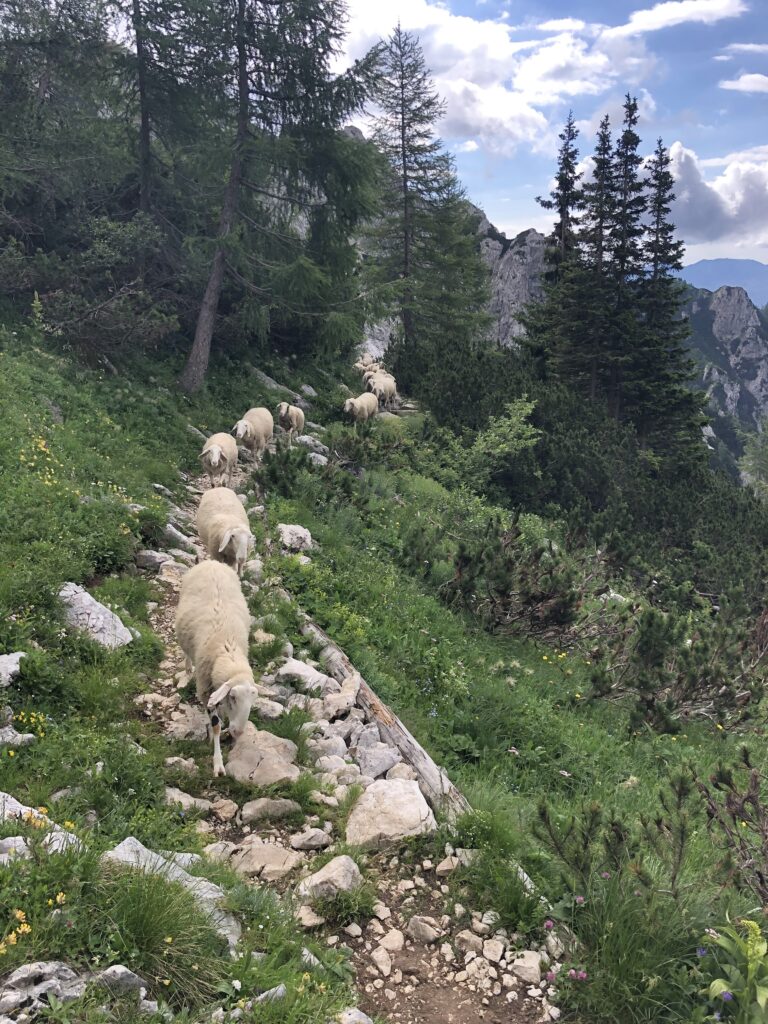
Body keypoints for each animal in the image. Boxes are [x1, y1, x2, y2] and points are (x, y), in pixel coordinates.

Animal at [175, 561, 257, 776]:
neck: (229, 651)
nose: (238, 732)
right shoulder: (205, 689)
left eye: (253, 701)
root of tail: (212, 562)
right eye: (233, 697)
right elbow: (216, 725)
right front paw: (218, 761)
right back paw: (187, 671)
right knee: (187, 654)